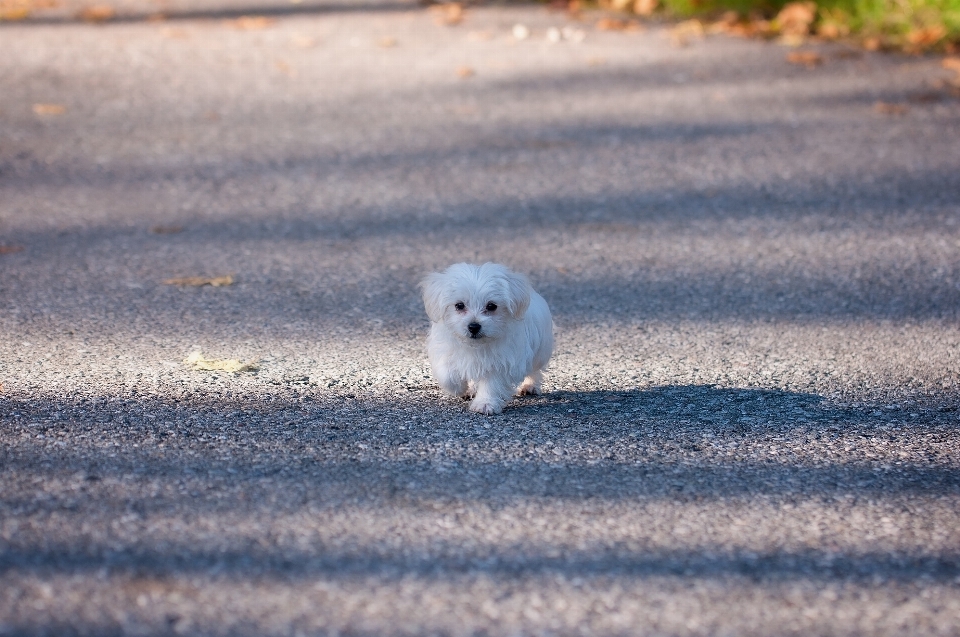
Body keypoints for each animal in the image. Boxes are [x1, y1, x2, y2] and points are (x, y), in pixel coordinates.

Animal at [422, 262, 556, 414]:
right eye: (459, 305)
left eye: (491, 306)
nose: (474, 326)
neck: (476, 346)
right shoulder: (445, 350)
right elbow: (447, 374)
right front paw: (460, 388)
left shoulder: (503, 361)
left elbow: (492, 383)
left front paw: (485, 403)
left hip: (540, 352)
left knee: (535, 369)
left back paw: (530, 386)